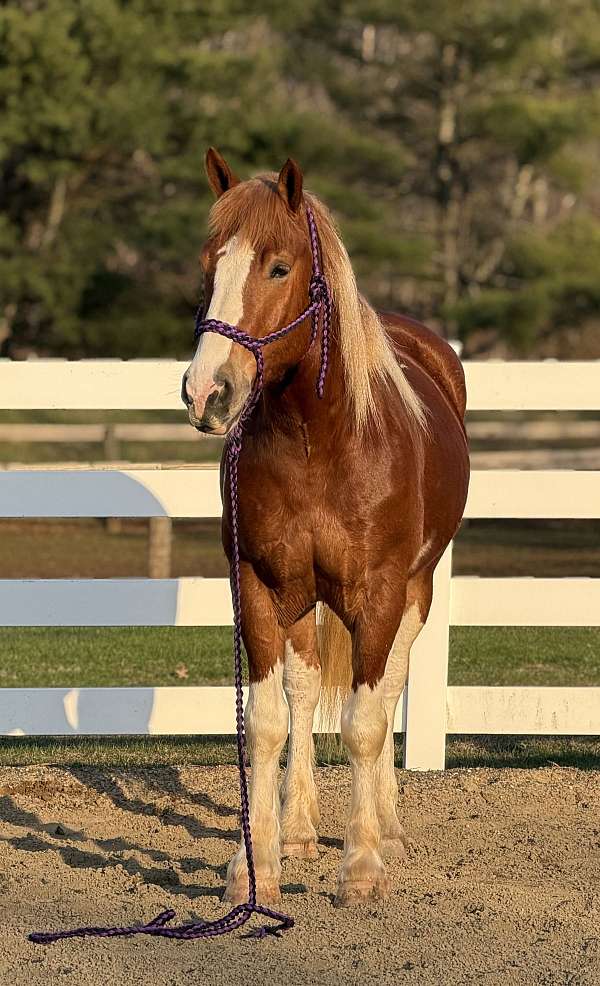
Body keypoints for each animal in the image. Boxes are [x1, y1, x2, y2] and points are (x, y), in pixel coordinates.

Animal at [182, 148, 469, 908]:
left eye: (279, 268)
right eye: (209, 264)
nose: (205, 392)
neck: (318, 444)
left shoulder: (379, 594)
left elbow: (365, 722)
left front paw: (362, 866)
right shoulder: (257, 588)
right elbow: (269, 723)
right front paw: (255, 865)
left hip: (416, 591)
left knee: (388, 687)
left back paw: (386, 834)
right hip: (302, 600)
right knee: (306, 691)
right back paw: (300, 830)